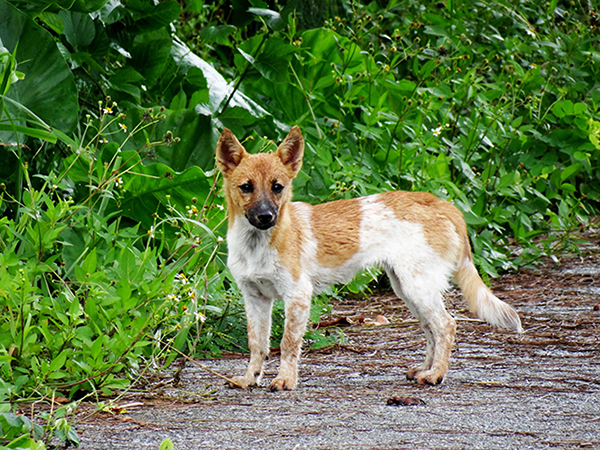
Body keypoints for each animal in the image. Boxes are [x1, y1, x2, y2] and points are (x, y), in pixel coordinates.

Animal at [214, 125, 520, 390]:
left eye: (277, 187)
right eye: (246, 187)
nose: (266, 217)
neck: (258, 246)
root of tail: (440, 203)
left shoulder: (298, 295)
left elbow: (288, 344)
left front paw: (285, 380)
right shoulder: (255, 298)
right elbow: (257, 345)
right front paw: (250, 378)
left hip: (418, 287)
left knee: (446, 326)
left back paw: (436, 374)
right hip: (407, 289)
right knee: (430, 329)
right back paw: (425, 368)